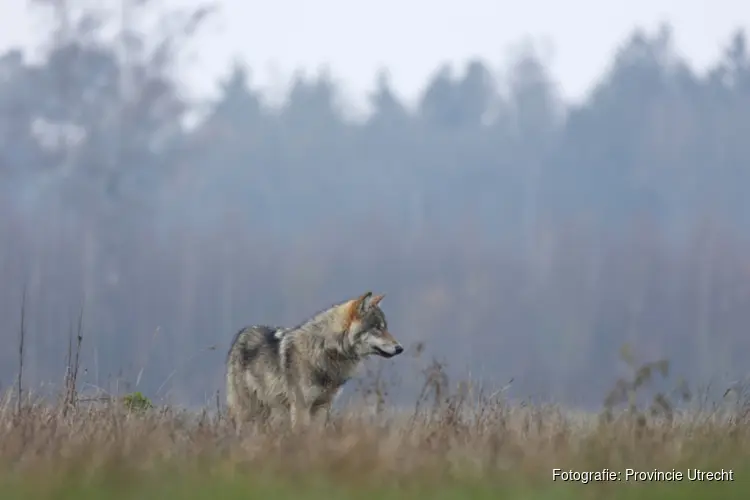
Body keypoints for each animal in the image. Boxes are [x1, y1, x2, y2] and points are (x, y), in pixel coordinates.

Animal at [226, 292, 406, 428]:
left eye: (385, 327)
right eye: (377, 328)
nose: (400, 348)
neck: (326, 349)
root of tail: (243, 333)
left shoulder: (322, 406)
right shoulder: (301, 408)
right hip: (248, 410)